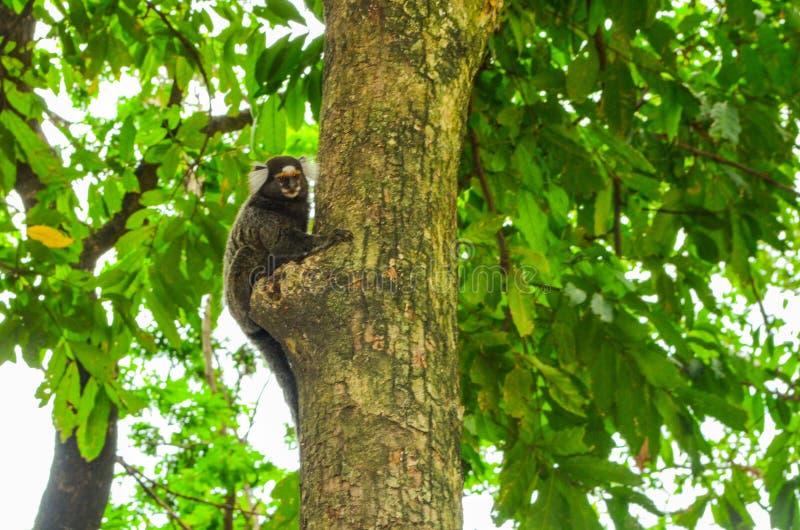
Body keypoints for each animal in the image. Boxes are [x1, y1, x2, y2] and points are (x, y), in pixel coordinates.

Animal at [223, 156, 352, 424]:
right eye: (281, 179)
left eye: (295, 176)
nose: (292, 186)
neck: (283, 205)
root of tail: (243, 325)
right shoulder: (262, 219)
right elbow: (284, 241)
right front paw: (328, 238)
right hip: (238, 297)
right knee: (247, 252)